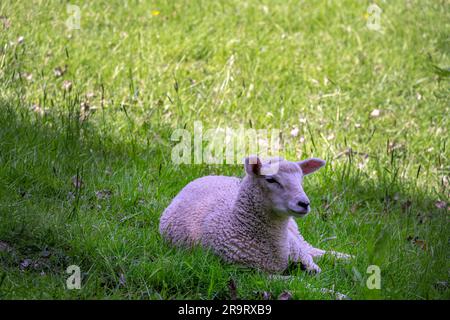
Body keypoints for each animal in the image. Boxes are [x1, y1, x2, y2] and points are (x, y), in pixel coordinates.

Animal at [159, 155, 352, 272]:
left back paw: (348, 257)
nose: (304, 203)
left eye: (301, 179)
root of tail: (204, 177)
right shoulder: (252, 273)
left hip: (295, 234)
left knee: (312, 249)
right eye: (271, 179)